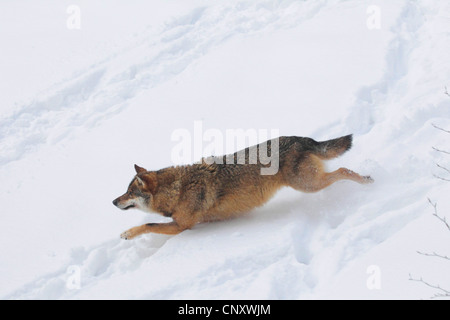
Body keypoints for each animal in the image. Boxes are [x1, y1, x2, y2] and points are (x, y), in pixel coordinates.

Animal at [112, 134, 372, 239]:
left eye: (129, 193)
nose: (113, 201)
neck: (177, 188)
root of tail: (299, 138)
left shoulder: (182, 226)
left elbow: (147, 224)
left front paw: (126, 234)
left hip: (309, 185)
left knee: (343, 170)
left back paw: (367, 181)